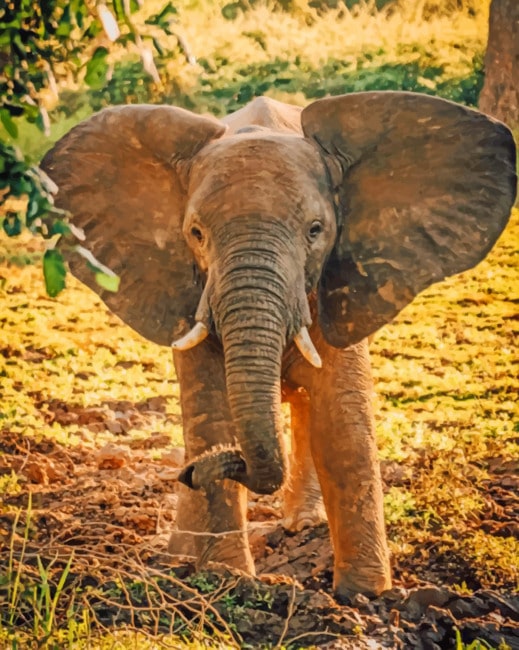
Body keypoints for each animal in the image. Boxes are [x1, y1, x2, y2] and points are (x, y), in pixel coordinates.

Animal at [41, 91, 517, 598]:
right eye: (196, 234)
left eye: (316, 230)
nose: (194, 472)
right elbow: (210, 414)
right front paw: (226, 577)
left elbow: (343, 425)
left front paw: (364, 596)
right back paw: (182, 557)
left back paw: (300, 526)